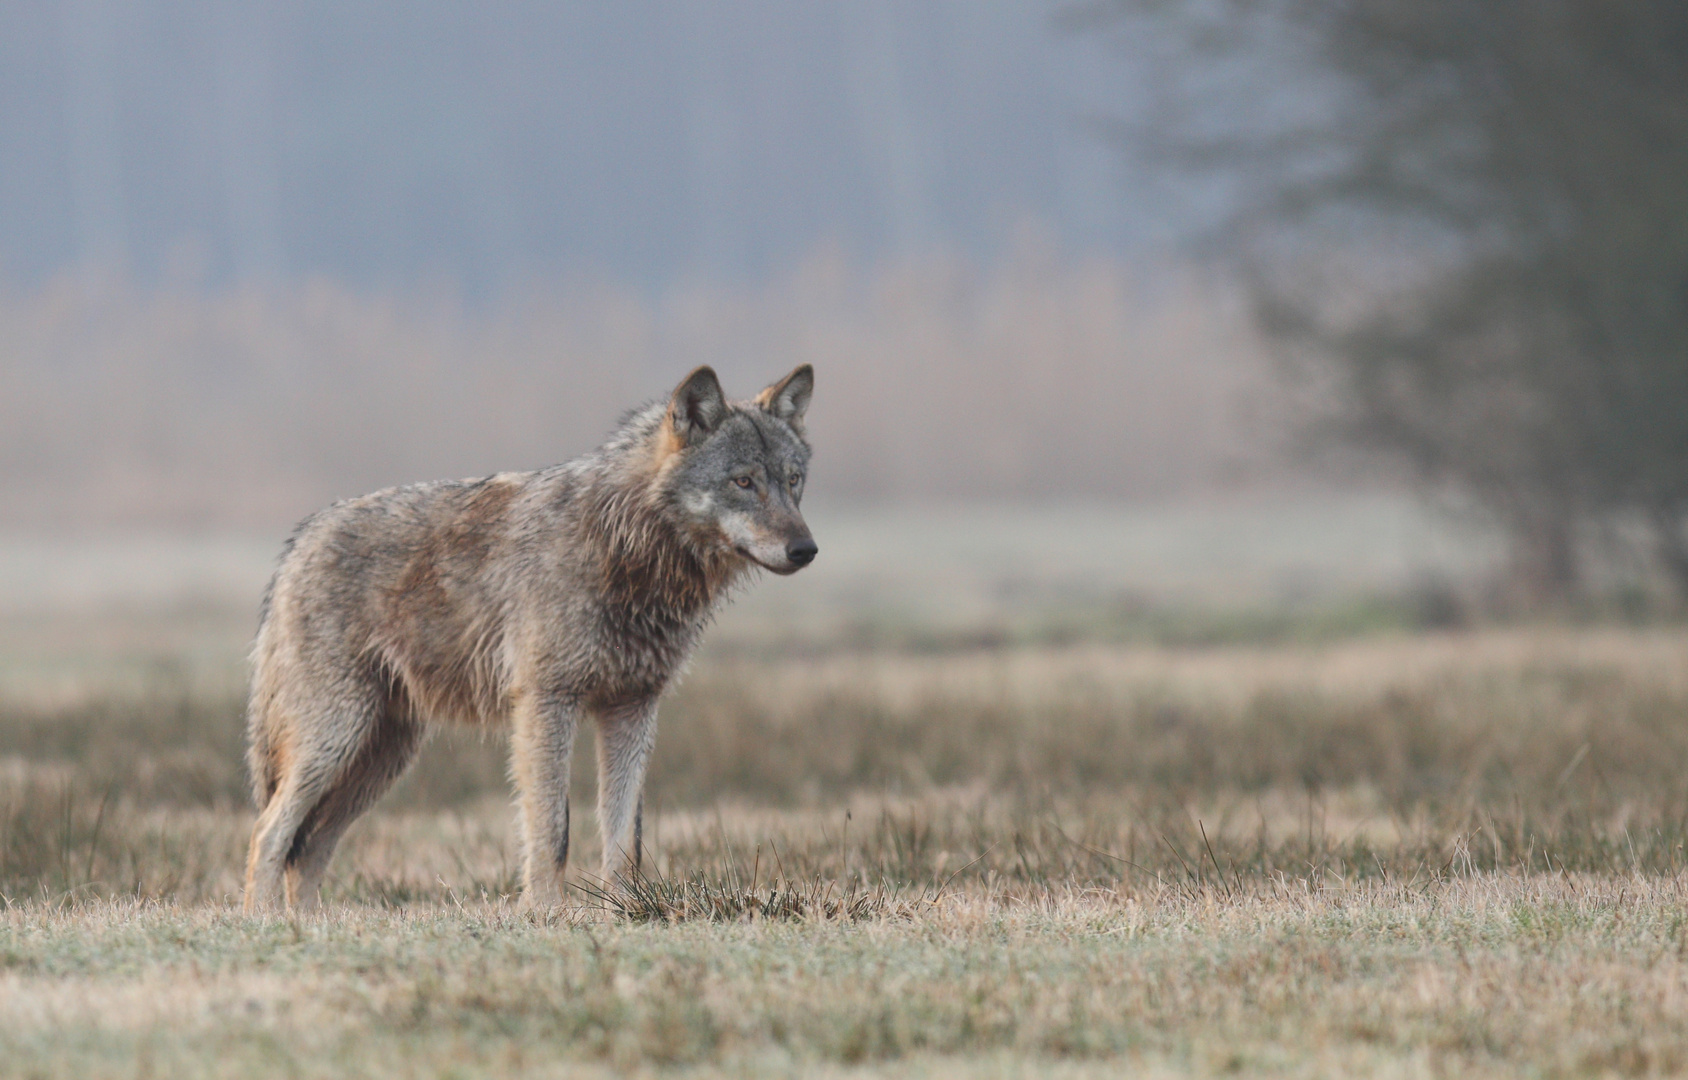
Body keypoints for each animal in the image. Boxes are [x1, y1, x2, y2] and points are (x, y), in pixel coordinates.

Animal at [244, 364, 816, 911]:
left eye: (793, 482)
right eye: (743, 482)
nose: (806, 549)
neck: (627, 549)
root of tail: (298, 541)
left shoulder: (632, 708)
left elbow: (624, 837)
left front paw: (628, 911)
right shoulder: (547, 703)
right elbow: (552, 829)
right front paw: (545, 913)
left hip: (381, 758)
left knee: (307, 848)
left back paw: (310, 925)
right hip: (339, 739)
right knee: (268, 832)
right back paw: (266, 921)